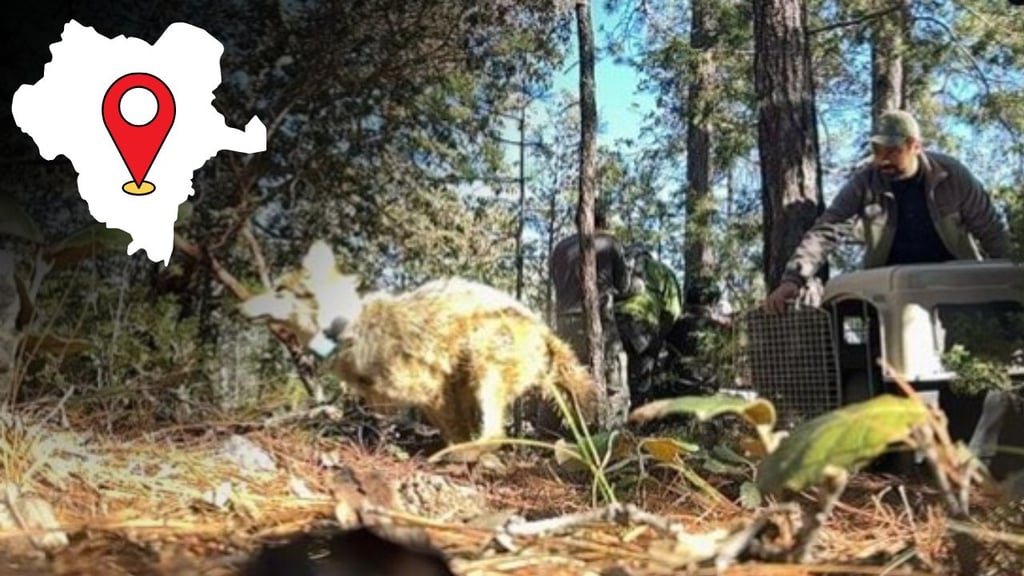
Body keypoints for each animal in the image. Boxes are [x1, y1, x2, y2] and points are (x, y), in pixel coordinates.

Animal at [239, 240, 600, 460]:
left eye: (279, 289)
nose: (239, 306)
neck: (349, 328)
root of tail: (545, 329)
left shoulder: (434, 391)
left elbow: (456, 431)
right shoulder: (415, 401)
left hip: (482, 368)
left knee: (496, 434)